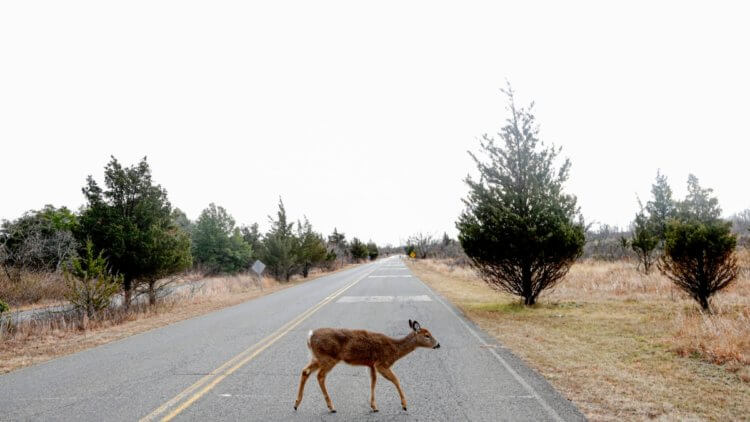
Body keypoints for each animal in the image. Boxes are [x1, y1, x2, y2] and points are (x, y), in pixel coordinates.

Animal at [294, 320, 440, 412]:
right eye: (427, 335)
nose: (438, 344)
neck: (394, 349)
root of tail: (310, 336)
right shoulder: (381, 363)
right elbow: (396, 380)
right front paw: (404, 405)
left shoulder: (371, 364)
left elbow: (373, 382)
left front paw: (374, 406)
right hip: (329, 358)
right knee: (320, 376)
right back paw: (331, 407)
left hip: (318, 357)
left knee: (305, 371)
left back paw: (296, 404)